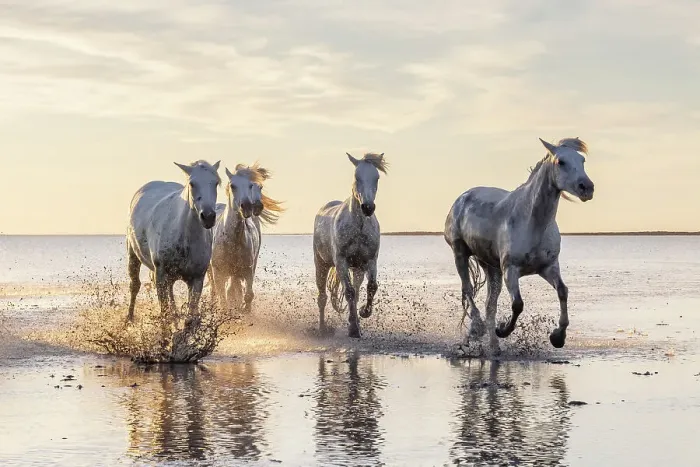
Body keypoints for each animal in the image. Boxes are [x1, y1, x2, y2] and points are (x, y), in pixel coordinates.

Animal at [126, 160, 221, 322]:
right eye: (192, 183)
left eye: (215, 183)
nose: (208, 216)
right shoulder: (161, 275)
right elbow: (164, 314)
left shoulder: (197, 279)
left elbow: (190, 317)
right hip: (133, 255)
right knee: (135, 285)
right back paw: (129, 319)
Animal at [209, 163, 283, 314]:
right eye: (233, 185)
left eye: (251, 185)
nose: (248, 206)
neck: (232, 240)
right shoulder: (218, 271)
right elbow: (222, 299)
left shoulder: (247, 270)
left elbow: (248, 295)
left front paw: (244, 310)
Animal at [313, 152, 388, 338]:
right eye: (356, 176)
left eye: (376, 177)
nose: (368, 207)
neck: (359, 227)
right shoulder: (341, 262)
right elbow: (349, 292)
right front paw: (353, 329)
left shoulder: (370, 261)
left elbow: (371, 287)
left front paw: (363, 314)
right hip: (321, 264)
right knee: (322, 297)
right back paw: (322, 328)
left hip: (357, 269)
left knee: (357, 290)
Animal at [444, 137, 595, 354]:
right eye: (561, 162)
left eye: (582, 160)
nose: (587, 188)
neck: (532, 222)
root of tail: (461, 198)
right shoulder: (511, 269)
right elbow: (517, 304)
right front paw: (503, 330)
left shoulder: (548, 267)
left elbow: (562, 291)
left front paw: (558, 337)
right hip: (460, 254)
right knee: (469, 290)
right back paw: (478, 329)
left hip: (491, 267)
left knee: (490, 305)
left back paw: (494, 347)